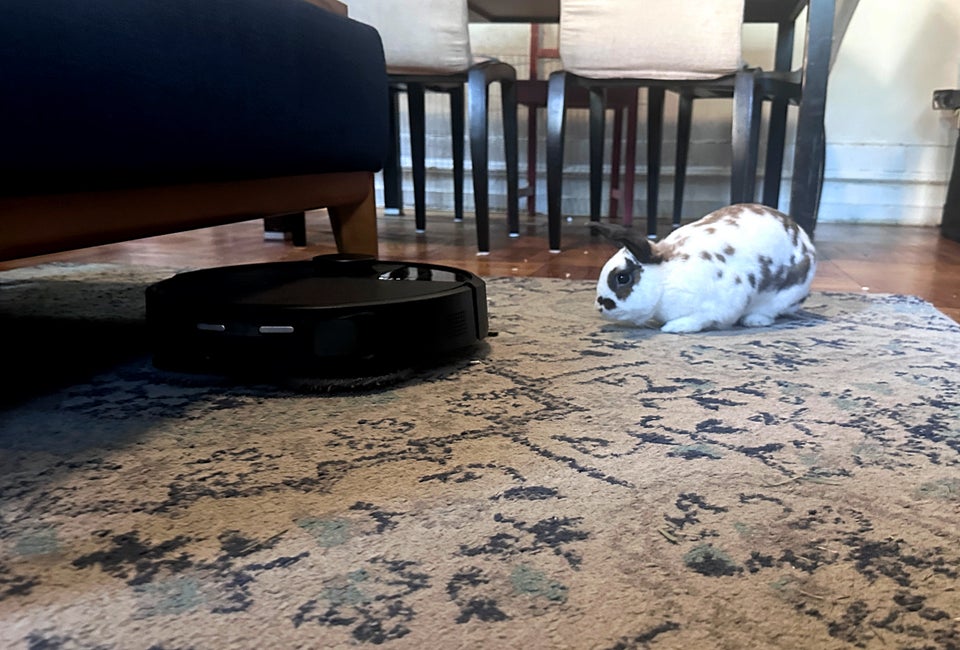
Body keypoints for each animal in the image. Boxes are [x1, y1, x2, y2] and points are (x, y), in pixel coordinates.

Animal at [591, 203, 817, 333]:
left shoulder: (720, 305)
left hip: (784, 296)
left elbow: (700, 319)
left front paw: (673, 327)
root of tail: (807, 243)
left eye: (622, 278)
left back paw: (754, 321)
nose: (600, 306)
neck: (666, 278)